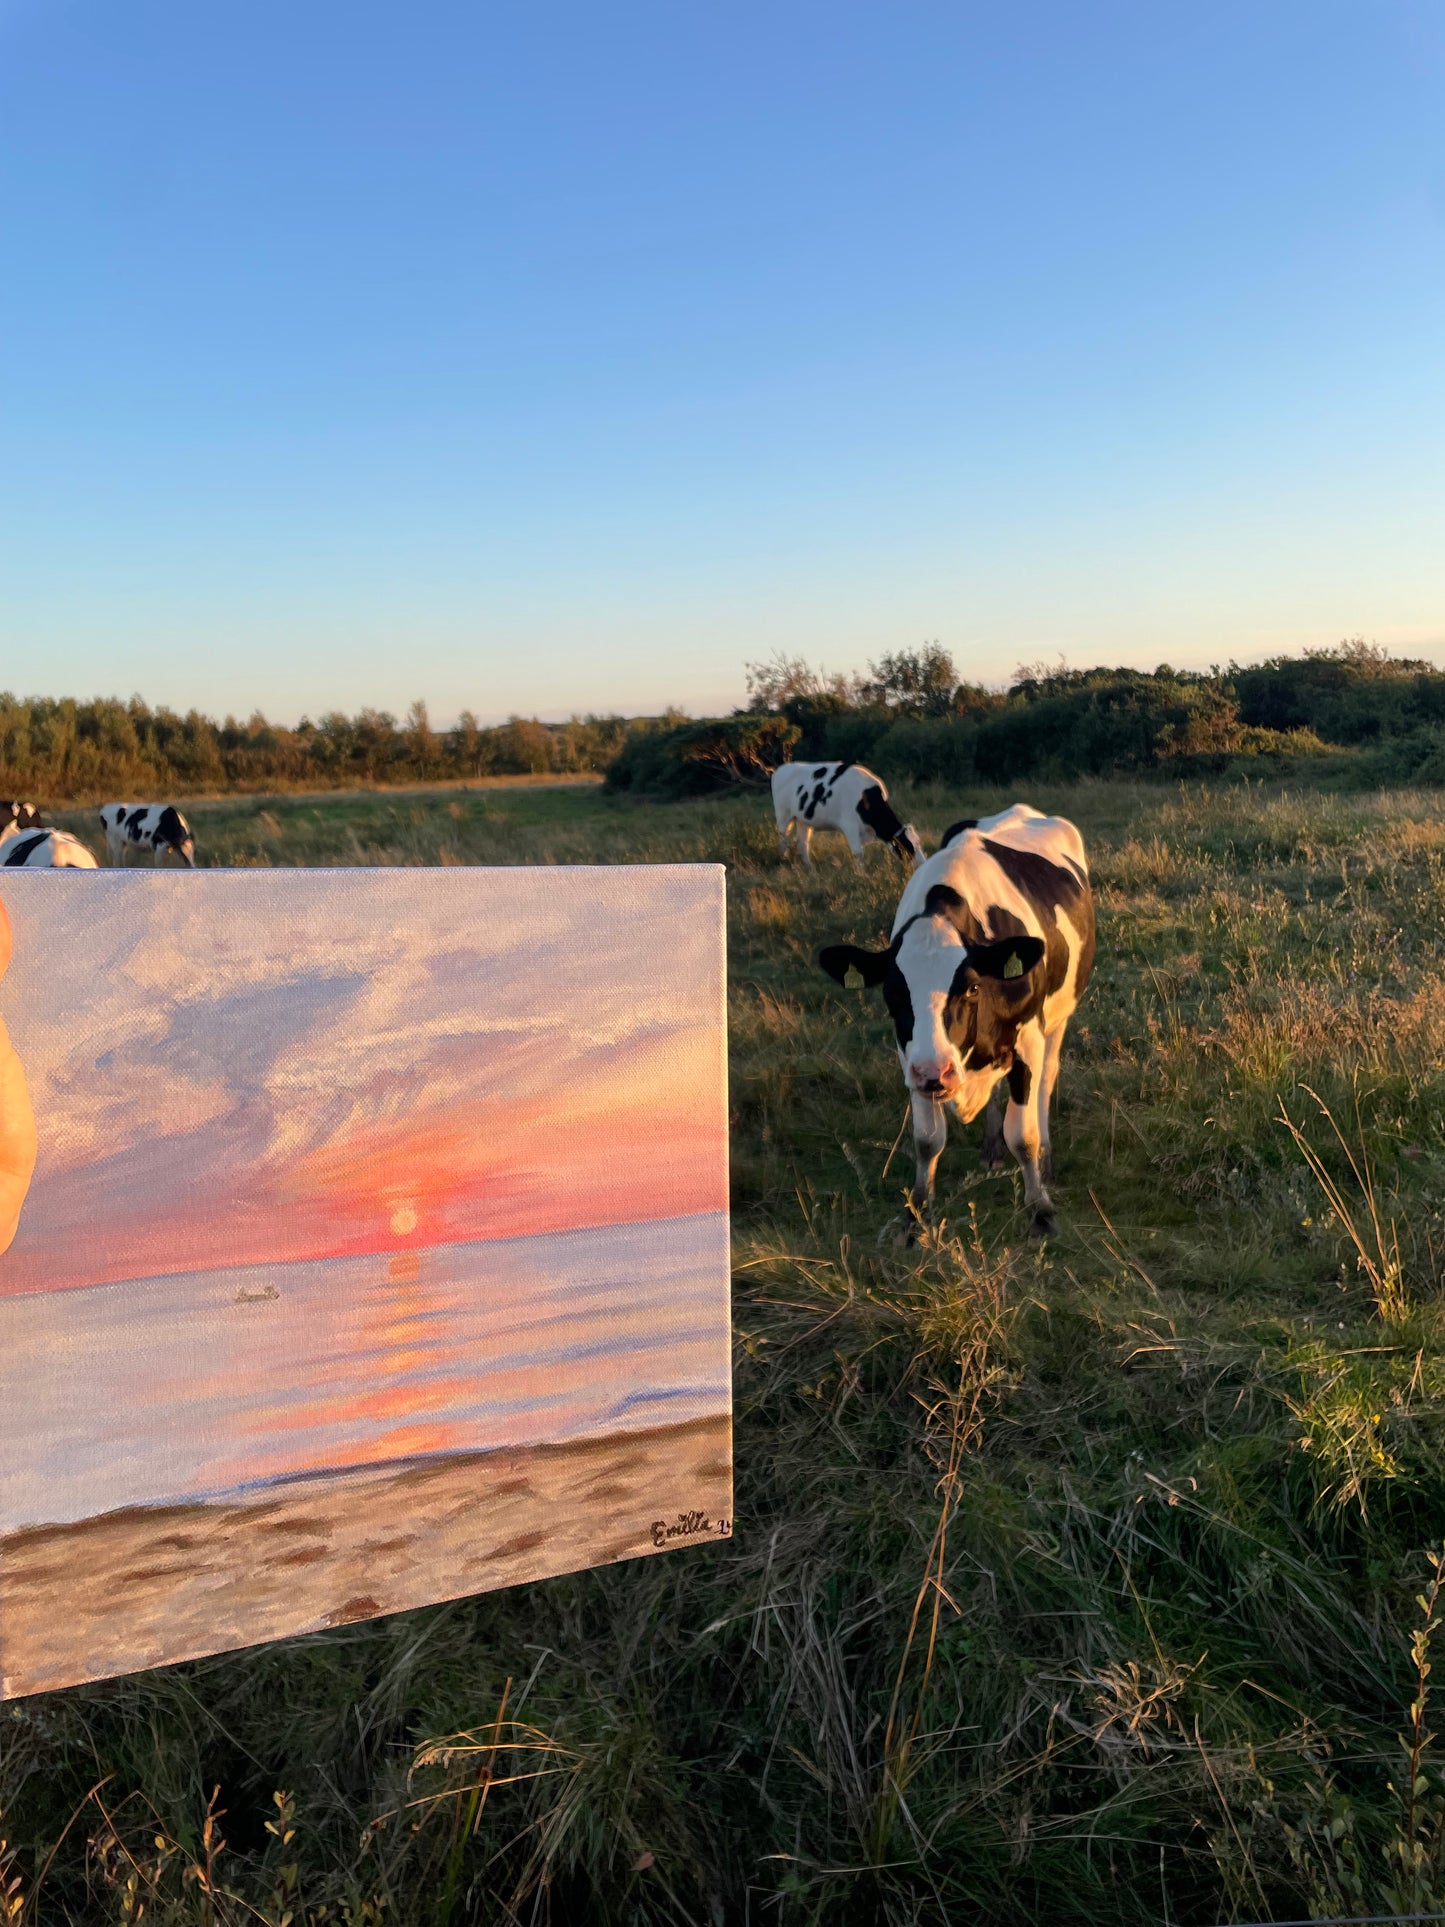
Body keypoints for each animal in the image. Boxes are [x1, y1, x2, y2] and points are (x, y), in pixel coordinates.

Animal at [774, 759, 920, 874]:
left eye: (918, 843)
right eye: (909, 846)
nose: (921, 865)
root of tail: (781, 769)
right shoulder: (850, 825)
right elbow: (857, 853)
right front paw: (862, 876)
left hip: (803, 820)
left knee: (803, 843)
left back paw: (811, 870)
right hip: (783, 815)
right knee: (783, 838)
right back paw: (783, 860)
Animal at [820, 801, 1094, 1233]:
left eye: (972, 988)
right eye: (893, 993)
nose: (937, 1073)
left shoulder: (1027, 1039)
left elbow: (1024, 1134)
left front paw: (1040, 1209)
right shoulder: (912, 1056)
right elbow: (927, 1139)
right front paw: (916, 1212)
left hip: (1059, 1017)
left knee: (1046, 1082)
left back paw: (1045, 1157)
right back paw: (991, 1148)